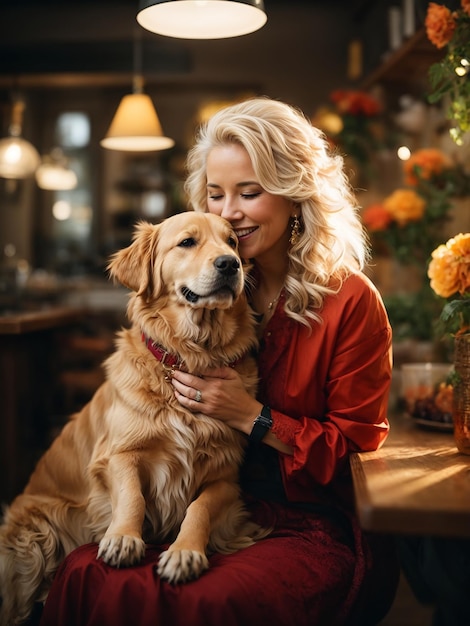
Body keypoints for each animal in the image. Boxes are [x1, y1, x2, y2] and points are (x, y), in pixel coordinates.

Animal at [0, 211, 268, 624]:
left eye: (233, 242)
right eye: (187, 242)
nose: (230, 264)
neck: (190, 356)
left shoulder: (226, 476)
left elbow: (199, 508)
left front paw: (185, 553)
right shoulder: (117, 455)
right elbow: (132, 496)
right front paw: (124, 537)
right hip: (34, 538)